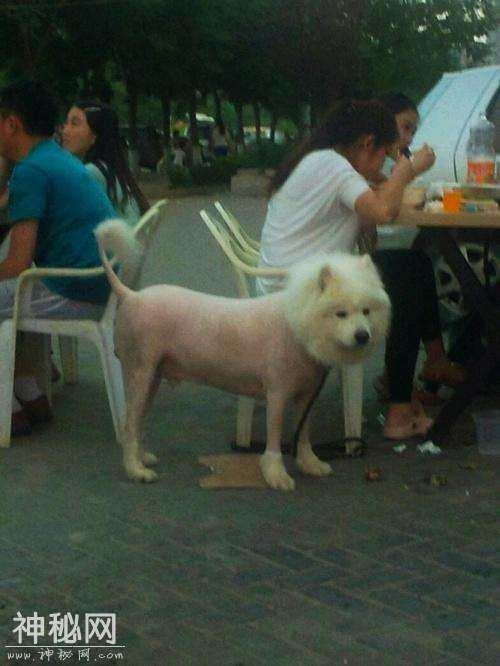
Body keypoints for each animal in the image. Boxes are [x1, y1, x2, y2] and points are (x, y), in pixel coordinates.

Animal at [96, 219, 390, 491]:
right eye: (341, 313)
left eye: (366, 311)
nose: (363, 336)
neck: (297, 324)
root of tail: (130, 295)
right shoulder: (277, 394)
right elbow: (274, 437)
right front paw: (276, 475)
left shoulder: (306, 397)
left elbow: (303, 434)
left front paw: (310, 463)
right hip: (139, 373)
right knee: (129, 424)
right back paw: (136, 470)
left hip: (152, 378)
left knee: (136, 422)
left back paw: (142, 457)